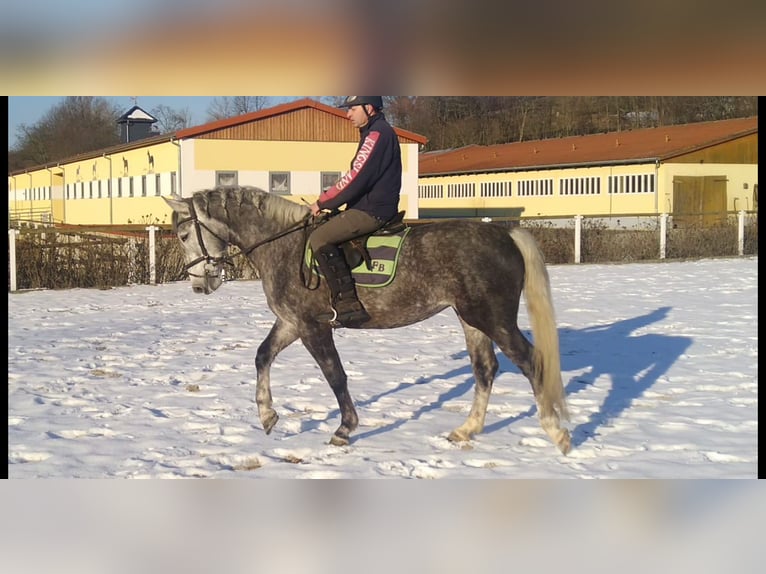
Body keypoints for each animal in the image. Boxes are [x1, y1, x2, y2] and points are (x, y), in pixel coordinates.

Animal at [165, 187, 568, 456]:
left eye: (184, 234)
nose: (199, 285)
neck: (282, 246)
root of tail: (505, 233)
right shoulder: (292, 323)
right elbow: (262, 356)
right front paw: (267, 415)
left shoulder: (313, 327)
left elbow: (335, 375)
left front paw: (345, 429)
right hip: (471, 319)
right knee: (485, 369)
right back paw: (467, 429)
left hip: (493, 318)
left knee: (531, 362)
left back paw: (556, 433)